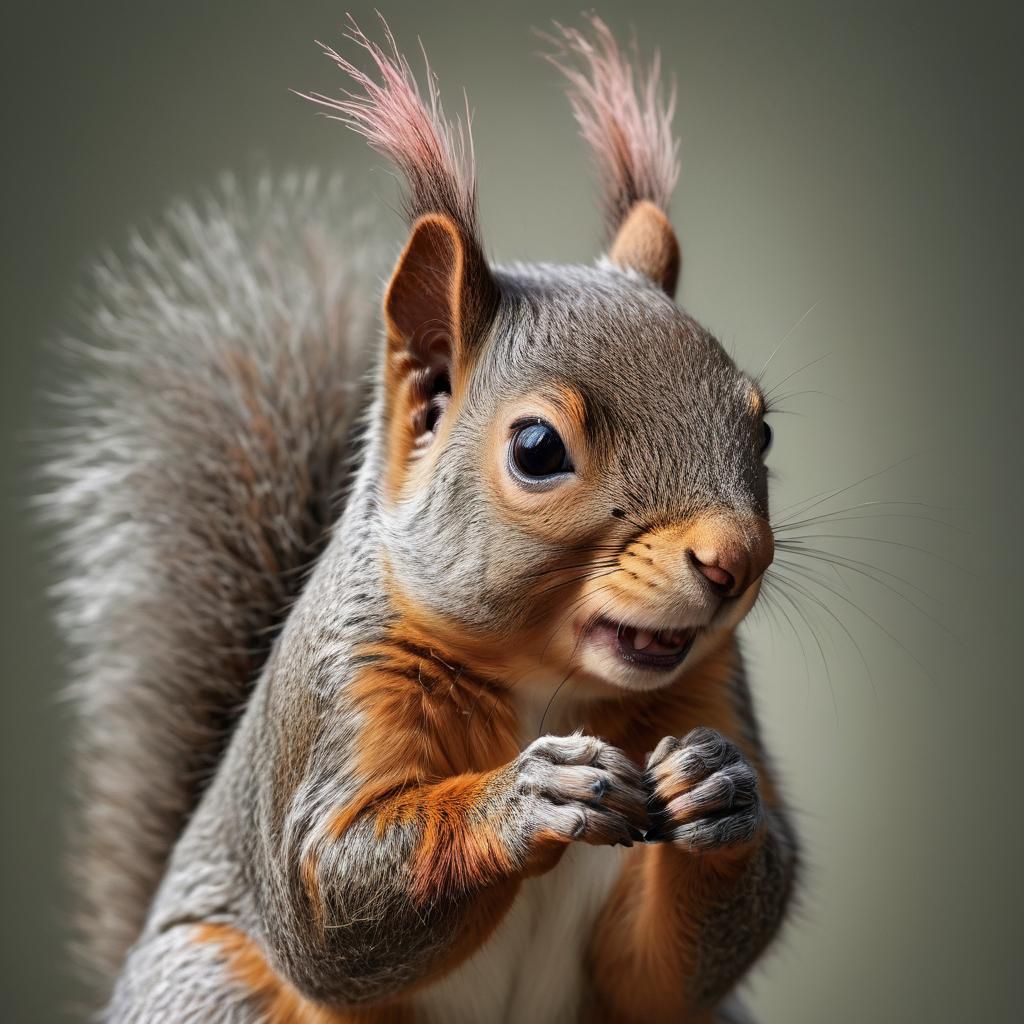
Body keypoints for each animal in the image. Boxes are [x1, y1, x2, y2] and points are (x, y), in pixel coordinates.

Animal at [46, 15, 798, 1024]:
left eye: (760, 428)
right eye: (536, 449)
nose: (735, 561)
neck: (551, 684)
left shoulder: (714, 688)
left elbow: (662, 969)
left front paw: (720, 790)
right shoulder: (342, 691)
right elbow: (329, 907)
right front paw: (524, 799)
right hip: (210, 988)